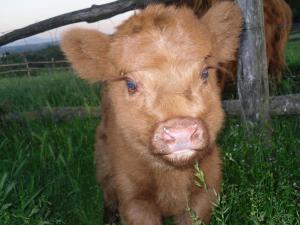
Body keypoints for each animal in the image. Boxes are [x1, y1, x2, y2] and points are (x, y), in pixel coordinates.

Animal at [62, 2, 243, 225]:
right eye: (131, 84)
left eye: (204, 73)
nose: (181, 130)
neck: (172, 178)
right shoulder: (133, 199)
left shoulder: (205, 191)